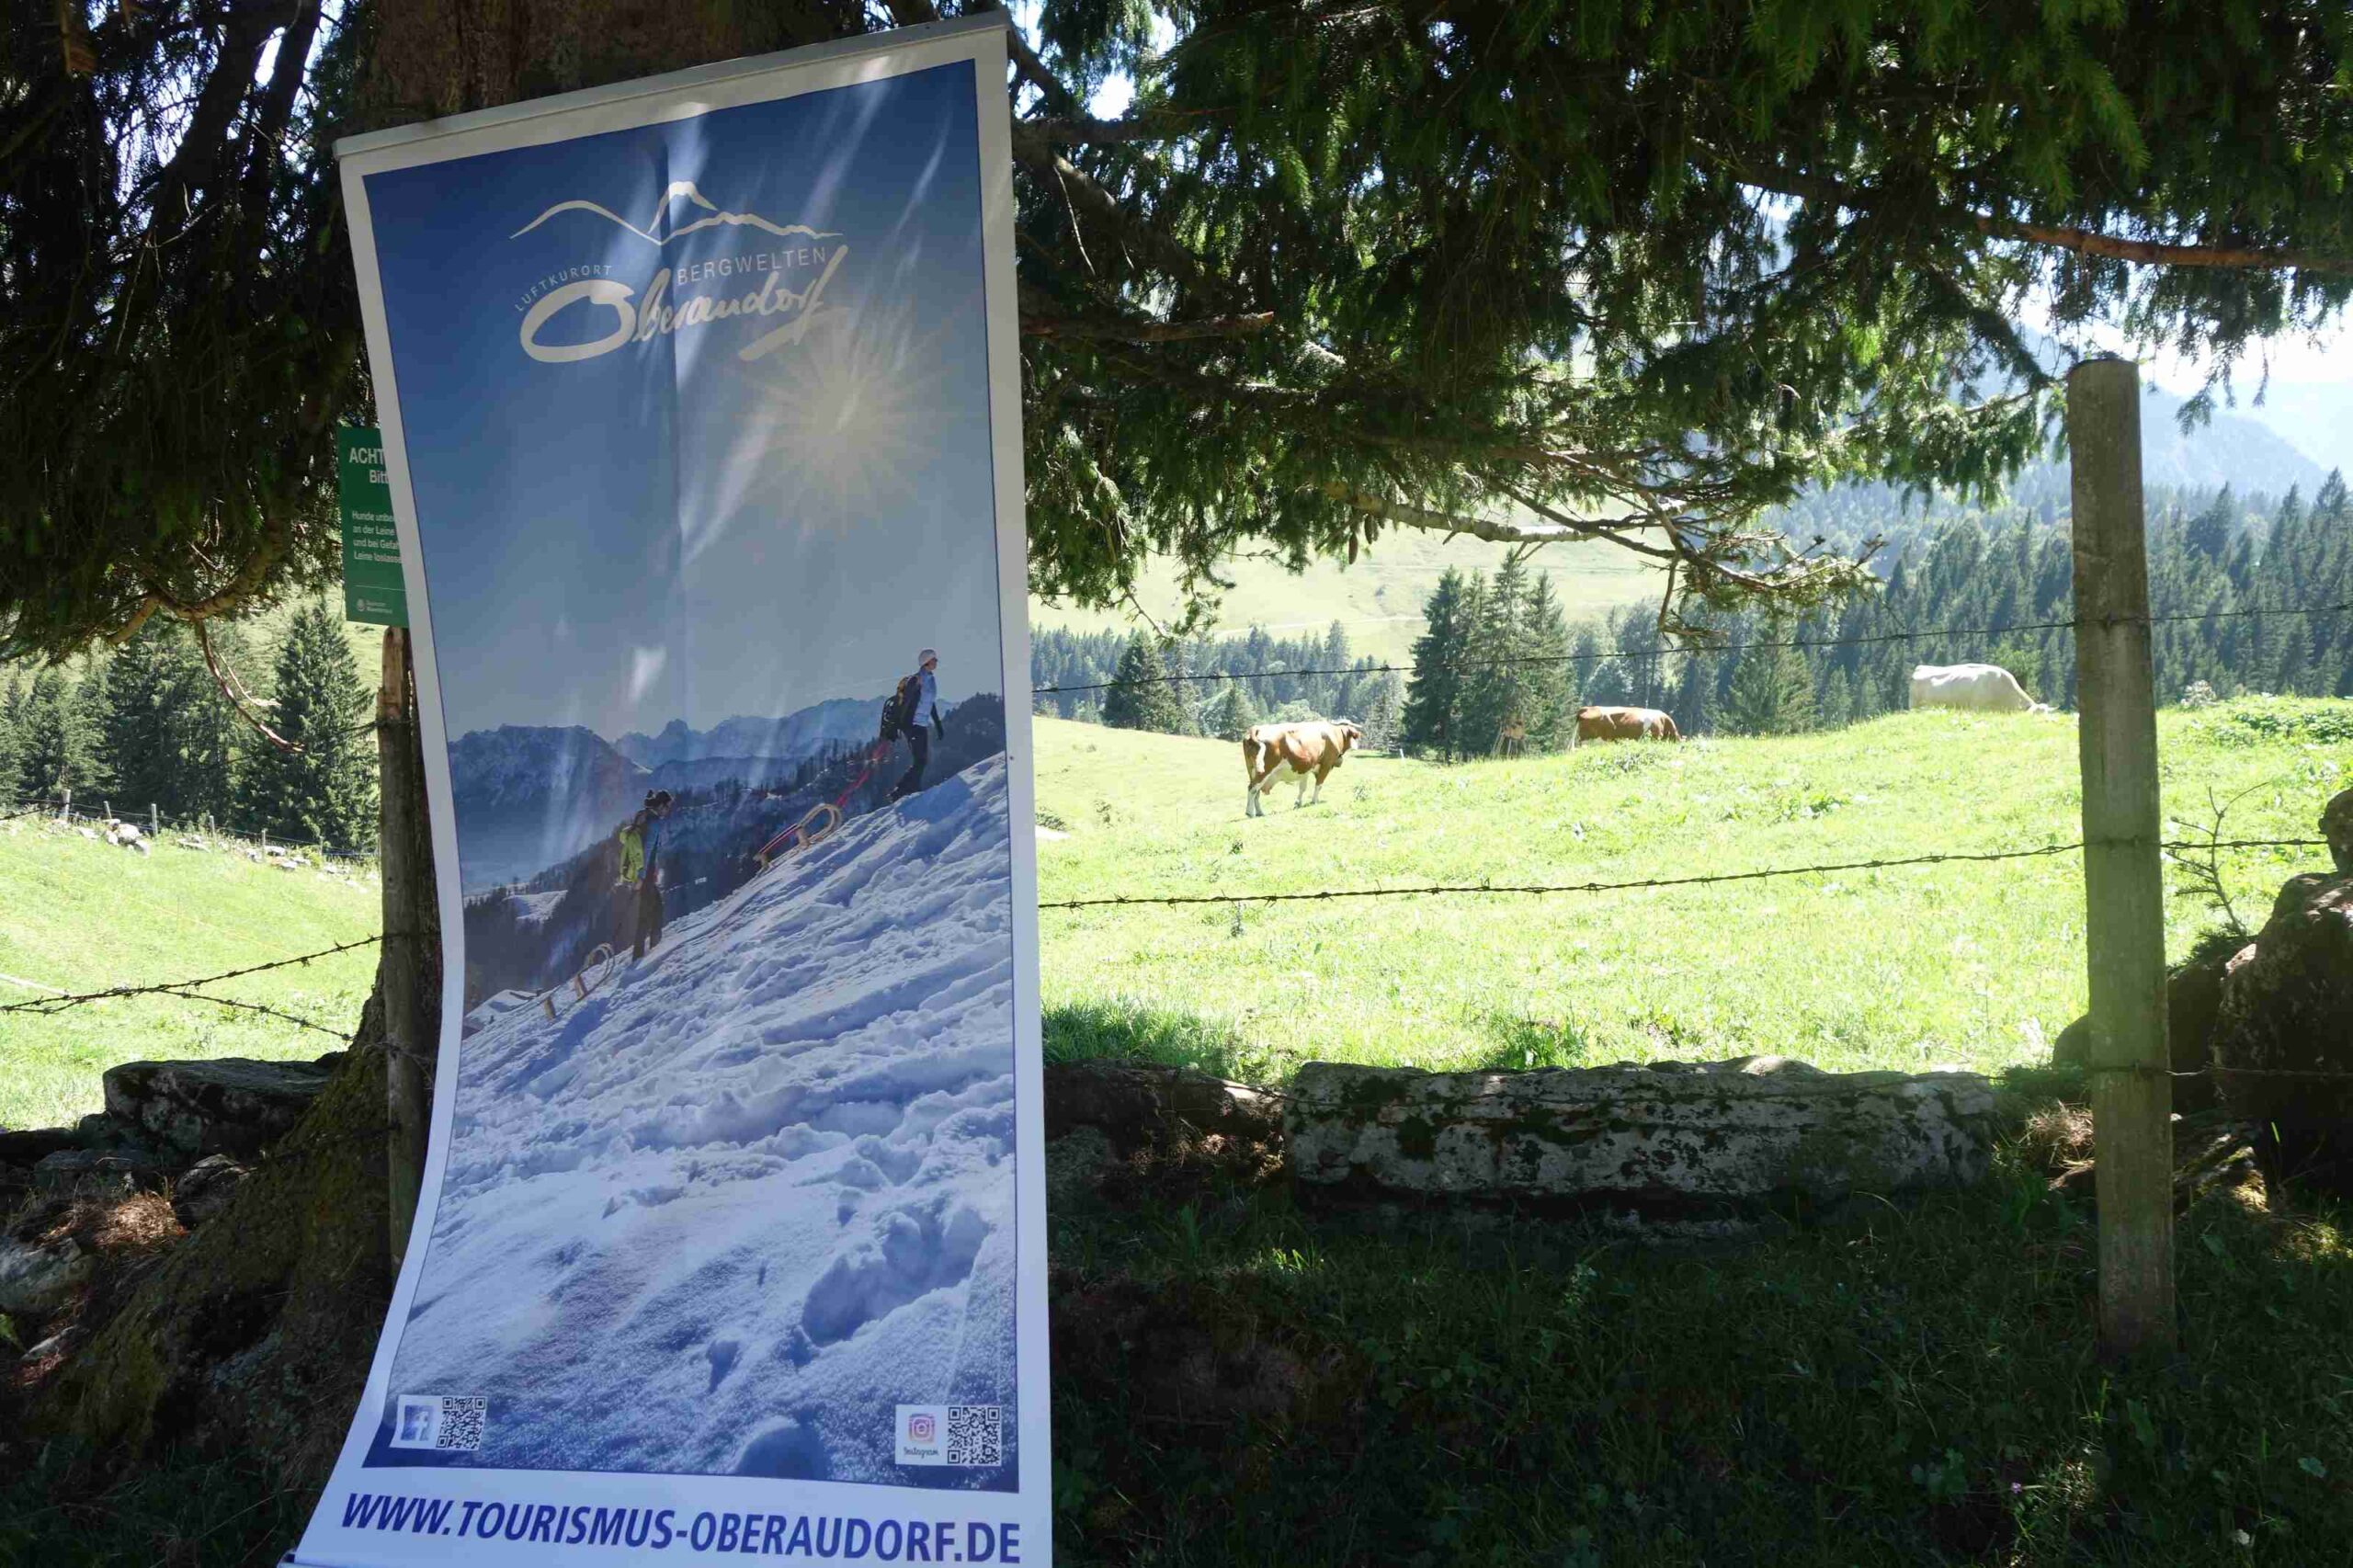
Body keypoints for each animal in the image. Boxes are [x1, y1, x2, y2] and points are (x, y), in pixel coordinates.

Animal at [1242, 720, 1362, 817]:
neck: (1335, 733)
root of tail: (1257, 728)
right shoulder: (1326, 765)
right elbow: (1319, 785)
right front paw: (1314, 801)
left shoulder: (1306, 769)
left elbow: (1302, 787)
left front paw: (1298, 803)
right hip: (1265, 770)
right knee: (1253, 789)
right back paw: (1250, 812)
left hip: (1252, 770)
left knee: (1256, 791)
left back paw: (1260, 812)